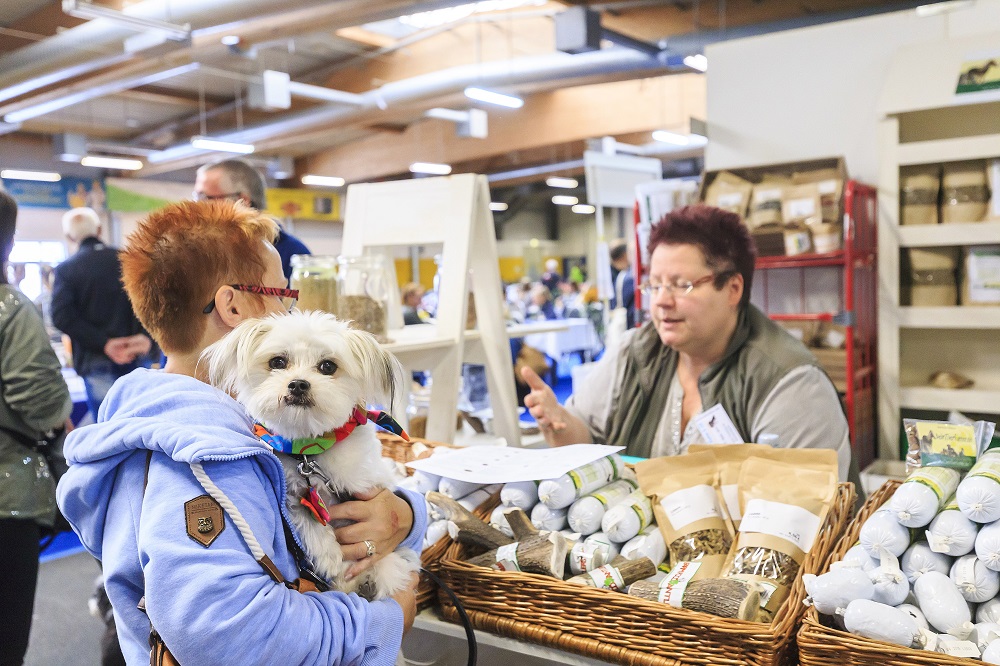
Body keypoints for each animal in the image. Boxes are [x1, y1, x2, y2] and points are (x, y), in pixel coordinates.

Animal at [201, 308, 420, 600]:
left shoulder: (367, 488)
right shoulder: (296, 496)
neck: (309, 451)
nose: (298, 384)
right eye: (278, 362)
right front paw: (331, 559)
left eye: (328, 366)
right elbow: (312, 523)